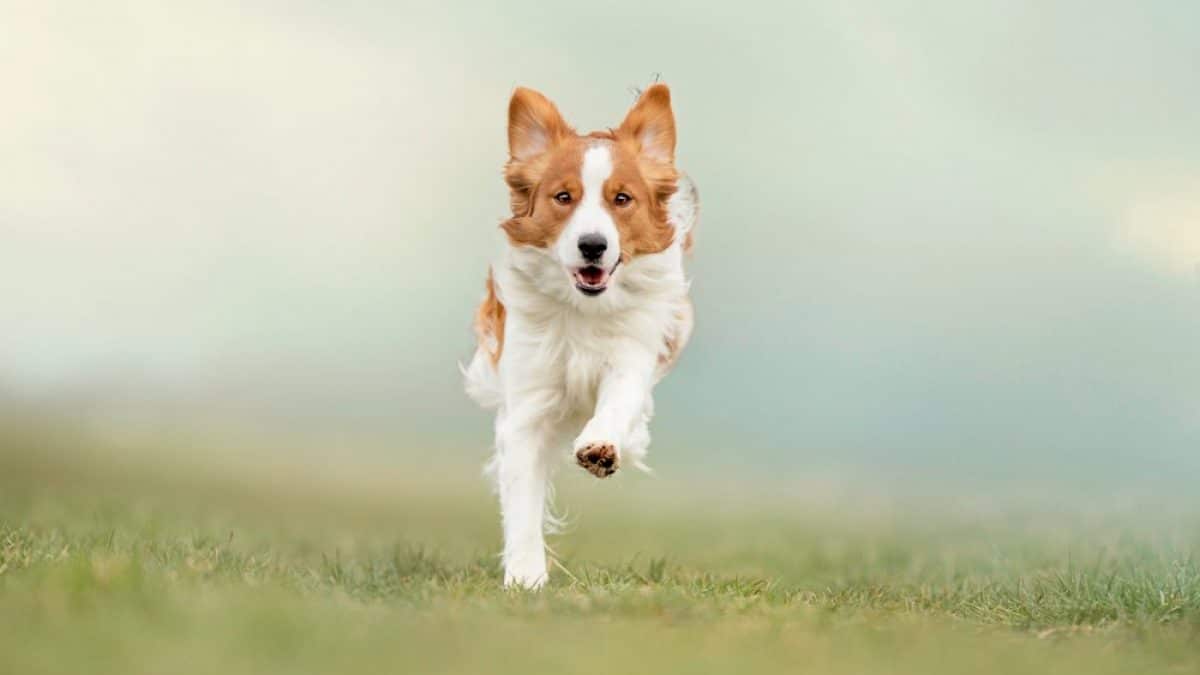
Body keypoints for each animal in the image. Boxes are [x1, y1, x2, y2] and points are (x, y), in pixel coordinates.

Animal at [463, 84, 700, 586]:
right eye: (563, 196)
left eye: (622, 198)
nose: (593, 245)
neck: (582, 311)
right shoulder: (528, 399)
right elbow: (523, 499)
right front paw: (525, 578)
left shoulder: (631, 356)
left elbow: (617, 403)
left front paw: (601, 447)